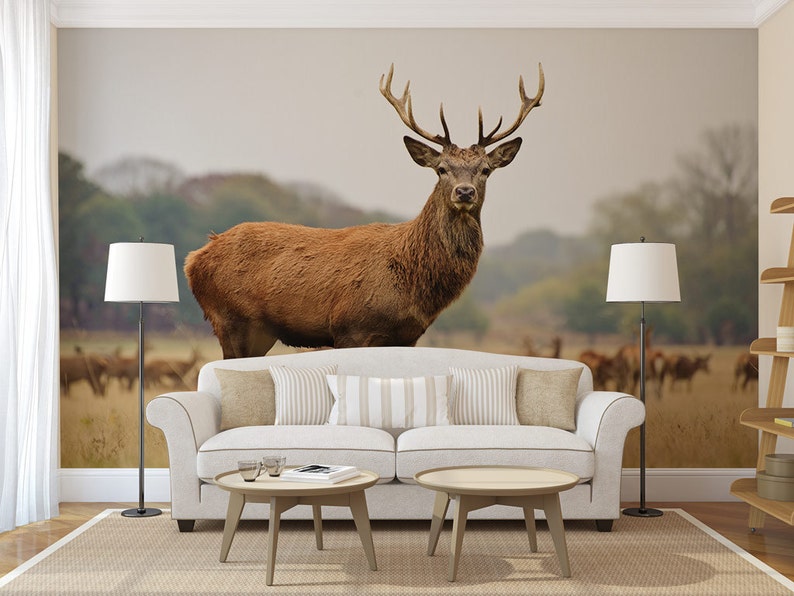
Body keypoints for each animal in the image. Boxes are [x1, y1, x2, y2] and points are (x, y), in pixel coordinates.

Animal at [185, 64, 544, 358]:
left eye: (485, 170)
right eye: (441, 168)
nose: (464, 192)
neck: (412, 285)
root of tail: (194, 259)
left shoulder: (408, 337)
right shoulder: (350, 328)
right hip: (232, 320)